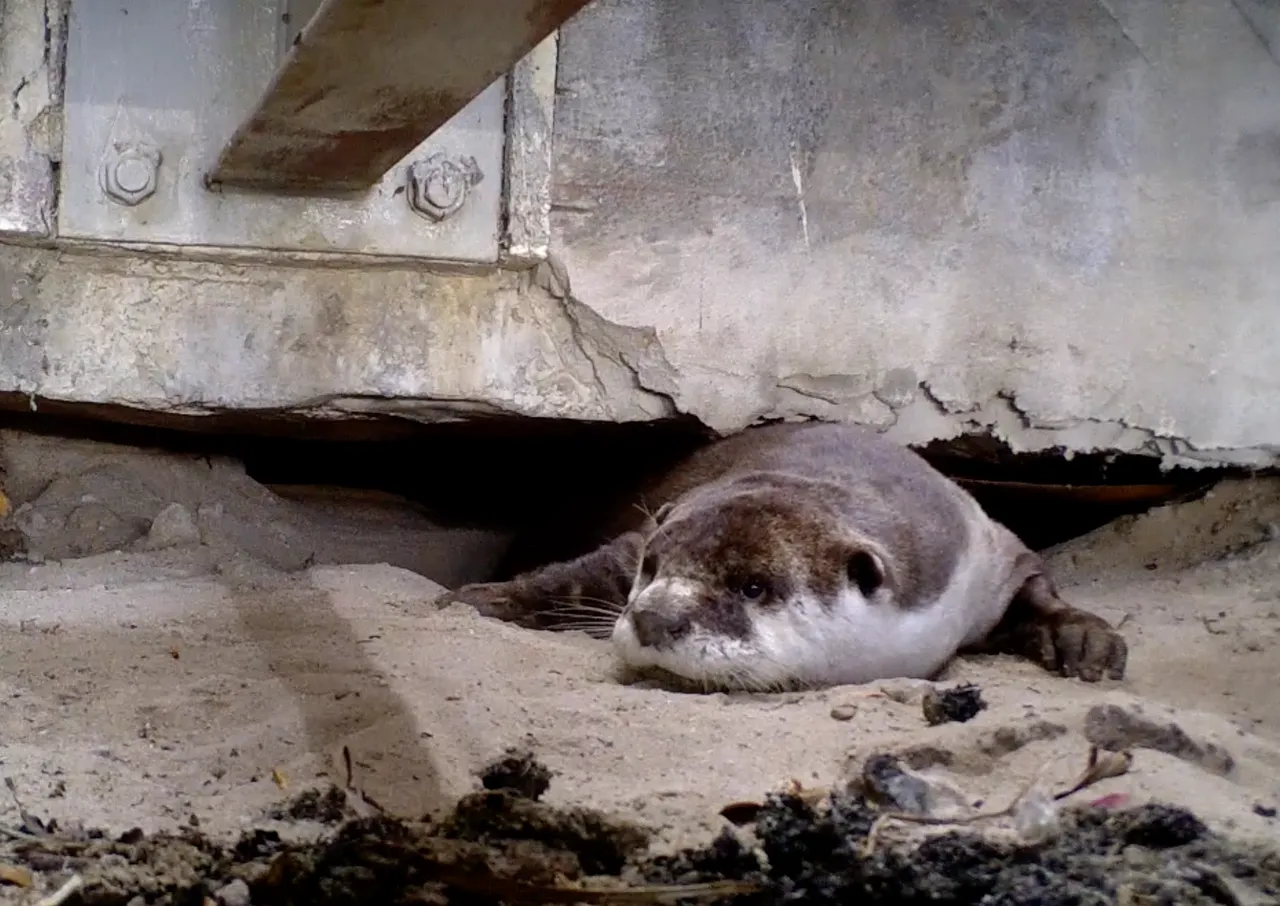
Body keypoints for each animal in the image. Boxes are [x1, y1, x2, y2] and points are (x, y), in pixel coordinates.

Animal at [448, 421, 1127, 691]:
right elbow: (580, 574)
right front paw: (486, 598)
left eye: (753, 587)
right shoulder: (640, 535)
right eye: (654, 569)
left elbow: (1036, 589)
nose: (654, 617)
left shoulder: (988, 557)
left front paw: (1082, 640)